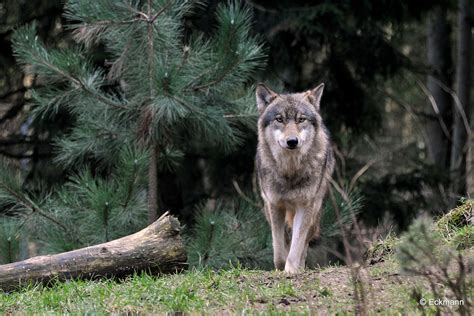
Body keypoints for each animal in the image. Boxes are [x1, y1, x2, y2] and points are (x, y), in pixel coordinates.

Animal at [254, 83, 336, 274]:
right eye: (279, 119)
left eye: (301, 120)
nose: (292, 141)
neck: (290, 171)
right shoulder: (274, 205)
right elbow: (278, 250)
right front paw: (281, 267)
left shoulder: (305, 207)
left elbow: (297, 245)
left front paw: (292, 270)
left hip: (315, 213)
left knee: (304, 242)